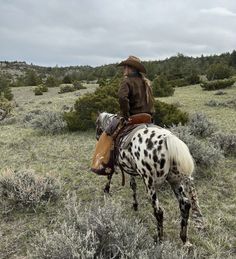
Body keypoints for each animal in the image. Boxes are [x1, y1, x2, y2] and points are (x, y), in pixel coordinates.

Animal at [94, 112, 203, 246]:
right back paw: (184, 239)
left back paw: (160, 239)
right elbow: (133, 185)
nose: (97, 136)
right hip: (175, 181)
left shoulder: (115, 163)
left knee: (159, 211)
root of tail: (168, 140)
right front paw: (135, 205)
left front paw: (106, 190)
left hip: (150, 183)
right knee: (185, 204)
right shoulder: (131, 169)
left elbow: (110, 176)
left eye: (97, 124)